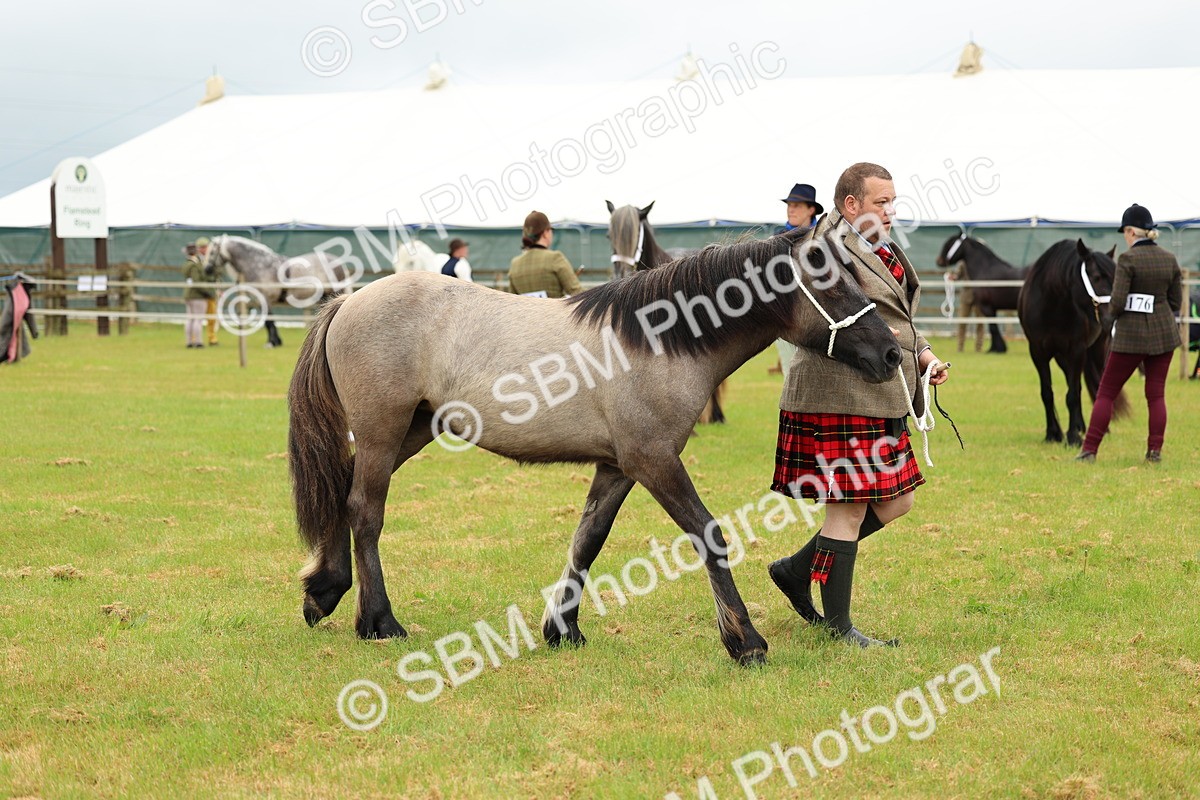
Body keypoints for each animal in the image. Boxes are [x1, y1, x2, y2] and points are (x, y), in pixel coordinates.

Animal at [204, 235, 353, 348]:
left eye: (212, 252)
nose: (207, 270)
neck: (259, 265)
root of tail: (337, 262)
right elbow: (268, 321)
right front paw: (275, 341)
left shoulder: (265, 299)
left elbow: (269, 322)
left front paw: (272, 343)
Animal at [287, 228, 903, 666]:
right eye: (832, 285)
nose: (893, 354)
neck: (657, 340)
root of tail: (347, 301)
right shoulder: (654, 460)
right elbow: (708, 534)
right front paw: (744, 640)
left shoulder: (618, 465)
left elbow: (588, 539)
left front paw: (562, 628)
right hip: (382, 431)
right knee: (365, 510)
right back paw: (379, 622)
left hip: (410, 430)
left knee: (345, 494)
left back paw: (324, 592)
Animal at [1018, 239, 1129, 446]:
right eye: (1096, 277)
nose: (1113, 315)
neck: (1052, 305)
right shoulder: (1038, 353)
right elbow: (1047, 393)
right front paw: (1053, 433)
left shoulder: (1076, 351)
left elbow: (1072, 395)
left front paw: (1072, 437)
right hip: (1062, 358)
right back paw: (1080, 425)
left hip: (1095, 351)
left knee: (1095, 385)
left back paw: (1098, 428)